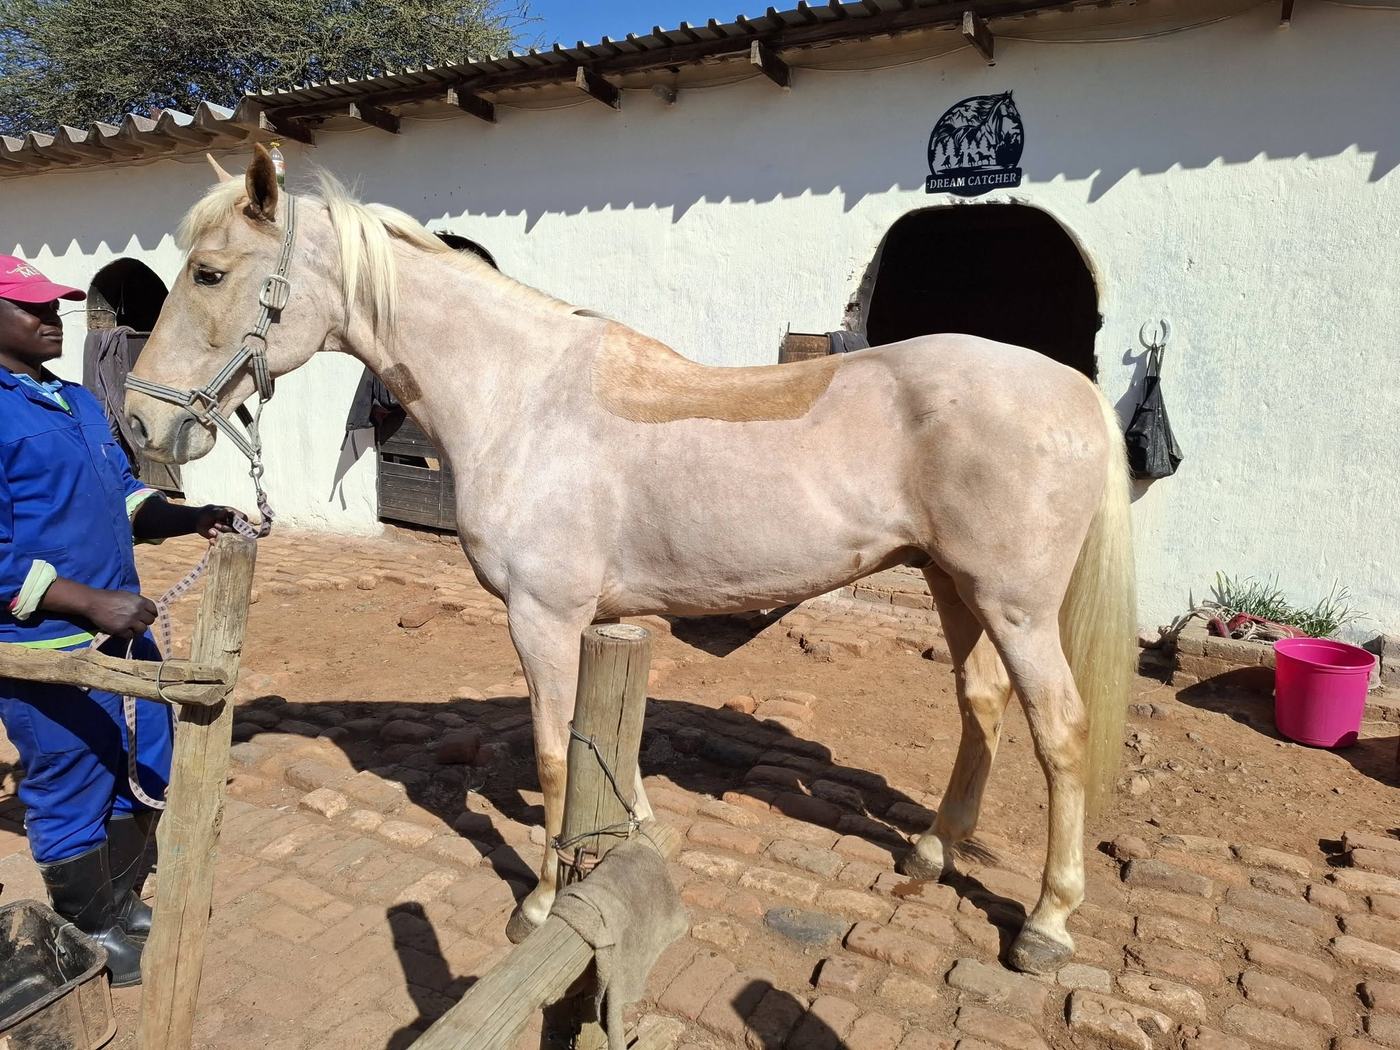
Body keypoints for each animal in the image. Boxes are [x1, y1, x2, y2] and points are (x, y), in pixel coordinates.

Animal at [125, 145, 1135, 975]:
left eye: (209, 272)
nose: (138, 423)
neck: (521, 398)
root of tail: (1073, 389)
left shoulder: (542, 619)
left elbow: (553, 757)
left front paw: (540, 902)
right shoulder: (595, 624)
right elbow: (608, 746)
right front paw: (635, 836)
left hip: (1014, 607)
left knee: (1059, 732)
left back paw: (1046, 925)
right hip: (952, 586)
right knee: (981, 708)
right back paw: (930, 852)